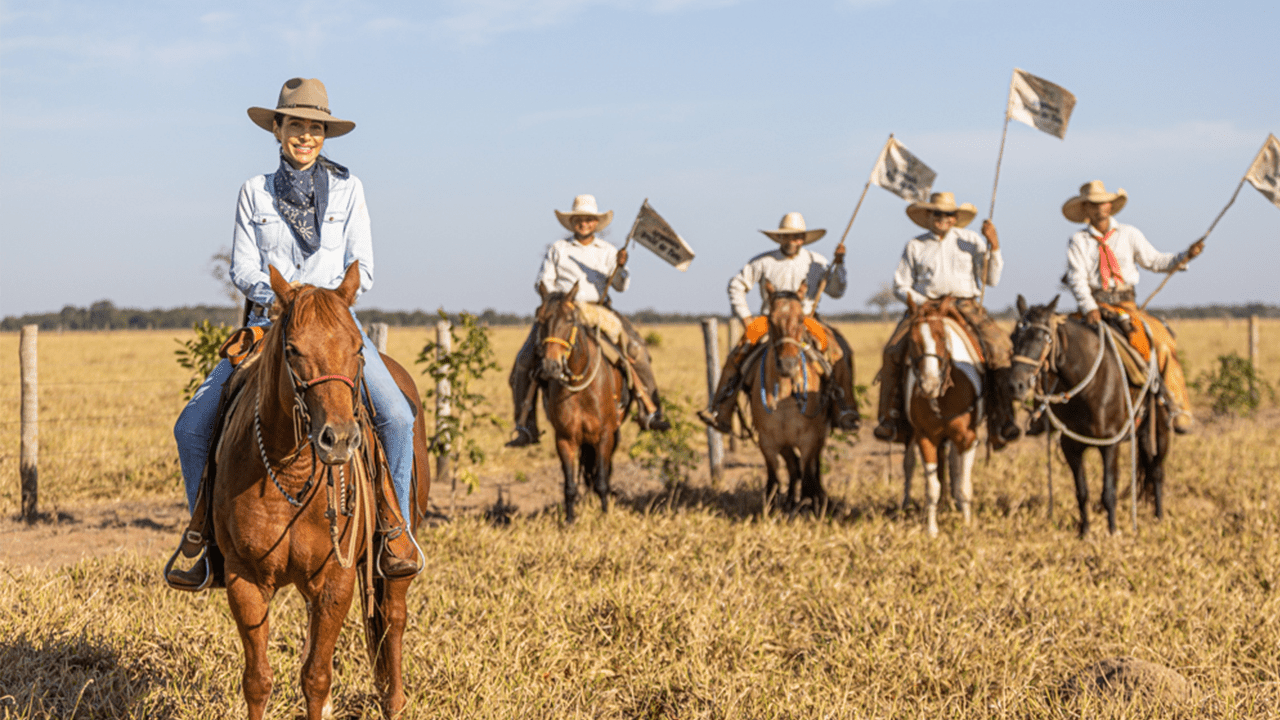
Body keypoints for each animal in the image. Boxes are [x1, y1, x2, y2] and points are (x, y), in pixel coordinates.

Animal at [211, 263, 430, 717]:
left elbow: (316, 677)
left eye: (358, 349)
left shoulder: (336, 580)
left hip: (395, 555)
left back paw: (394, 701)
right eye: (293, 350)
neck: (289, 475)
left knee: (393, 617)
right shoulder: (244, 579)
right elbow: (257, 680)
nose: (340, 439)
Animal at [535, 280, 629, 520]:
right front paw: (569, 520)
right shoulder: (565, 439)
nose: (550, 367)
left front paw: (604, 517)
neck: (581, 391)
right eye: (539, 319)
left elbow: (602, 480)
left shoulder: (605, 436)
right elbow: (569, 485)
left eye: (570, 320)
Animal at [742, 280, 829, 509]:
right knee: (793, 466)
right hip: (785, 442)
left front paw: (814, 504)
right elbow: (774, 479)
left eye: (800, 319)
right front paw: (771, 507)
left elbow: (808, 478)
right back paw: (790, 500)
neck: (784, 396)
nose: (788, 365)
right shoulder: (768, 441)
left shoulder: (809, 439)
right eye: (771, 320)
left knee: (810, 469)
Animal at [906, 294, 983, 535]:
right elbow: (933, 487)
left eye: (941, 336)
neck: (942, 398)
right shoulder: (925, 438)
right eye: (912, 339)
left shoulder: (968, 438)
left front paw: (967, 525)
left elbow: (964, 485)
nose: (929, 385)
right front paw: (932, 531)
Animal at [1003, 294, 1172, 535]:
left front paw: (1112, 531)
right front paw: (1084, 532)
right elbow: (1081, 492)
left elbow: (1108, 490)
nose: (1015, 385)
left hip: (1159, 430)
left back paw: (1158, 516)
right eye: (1013, 337)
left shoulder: (1110, 444)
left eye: (1043, 338)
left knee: (1157, 470)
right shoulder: (1070, 447)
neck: (1088, 388)